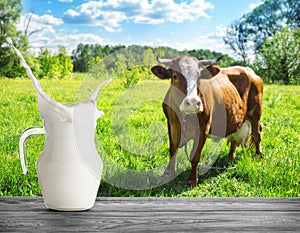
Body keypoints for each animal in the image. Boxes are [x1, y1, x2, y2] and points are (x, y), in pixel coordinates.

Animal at [151, 56, 264, 187]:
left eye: (199, 76)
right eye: (175, 76)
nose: (193, 102)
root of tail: (249, 70)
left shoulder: (203, 127)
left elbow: (195, 155)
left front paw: (192, 180)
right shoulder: (172, 124)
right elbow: (173, 148)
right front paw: (168, 173)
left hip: (256, 114)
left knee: (257, 134)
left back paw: (259, 155)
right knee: (235, 137)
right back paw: (231, 156)